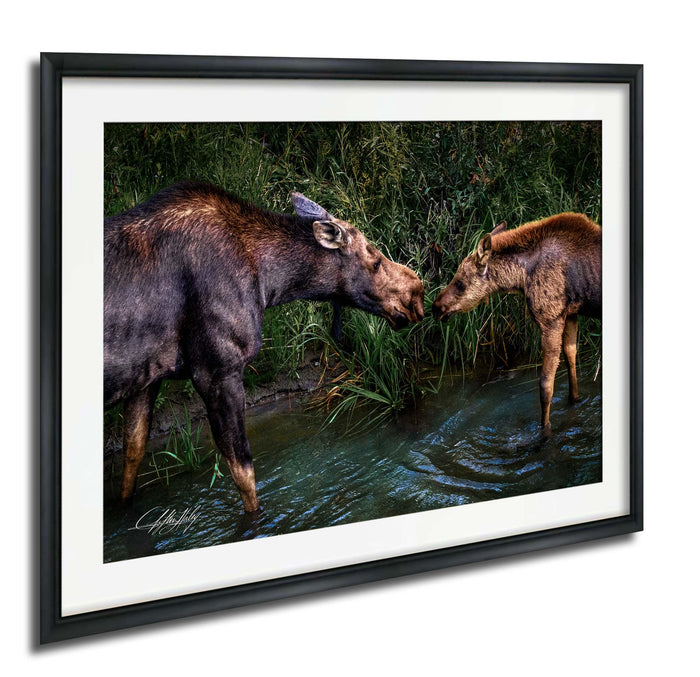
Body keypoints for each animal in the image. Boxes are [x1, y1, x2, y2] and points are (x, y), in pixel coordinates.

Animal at [104, 182, 425, 512]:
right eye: (375, 262)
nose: (417, 290)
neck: (270, 285)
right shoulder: (218, 370)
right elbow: (244, 472)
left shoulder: (146, 378)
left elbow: (132, 457)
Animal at [432, 213, 601, 433]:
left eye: (460, 283)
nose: (435, 307)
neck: (520, 278)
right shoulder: (570, 314)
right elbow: (571, 359)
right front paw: (575, 401)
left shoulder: (550, 320)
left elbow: (546, 386)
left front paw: (545, 431)